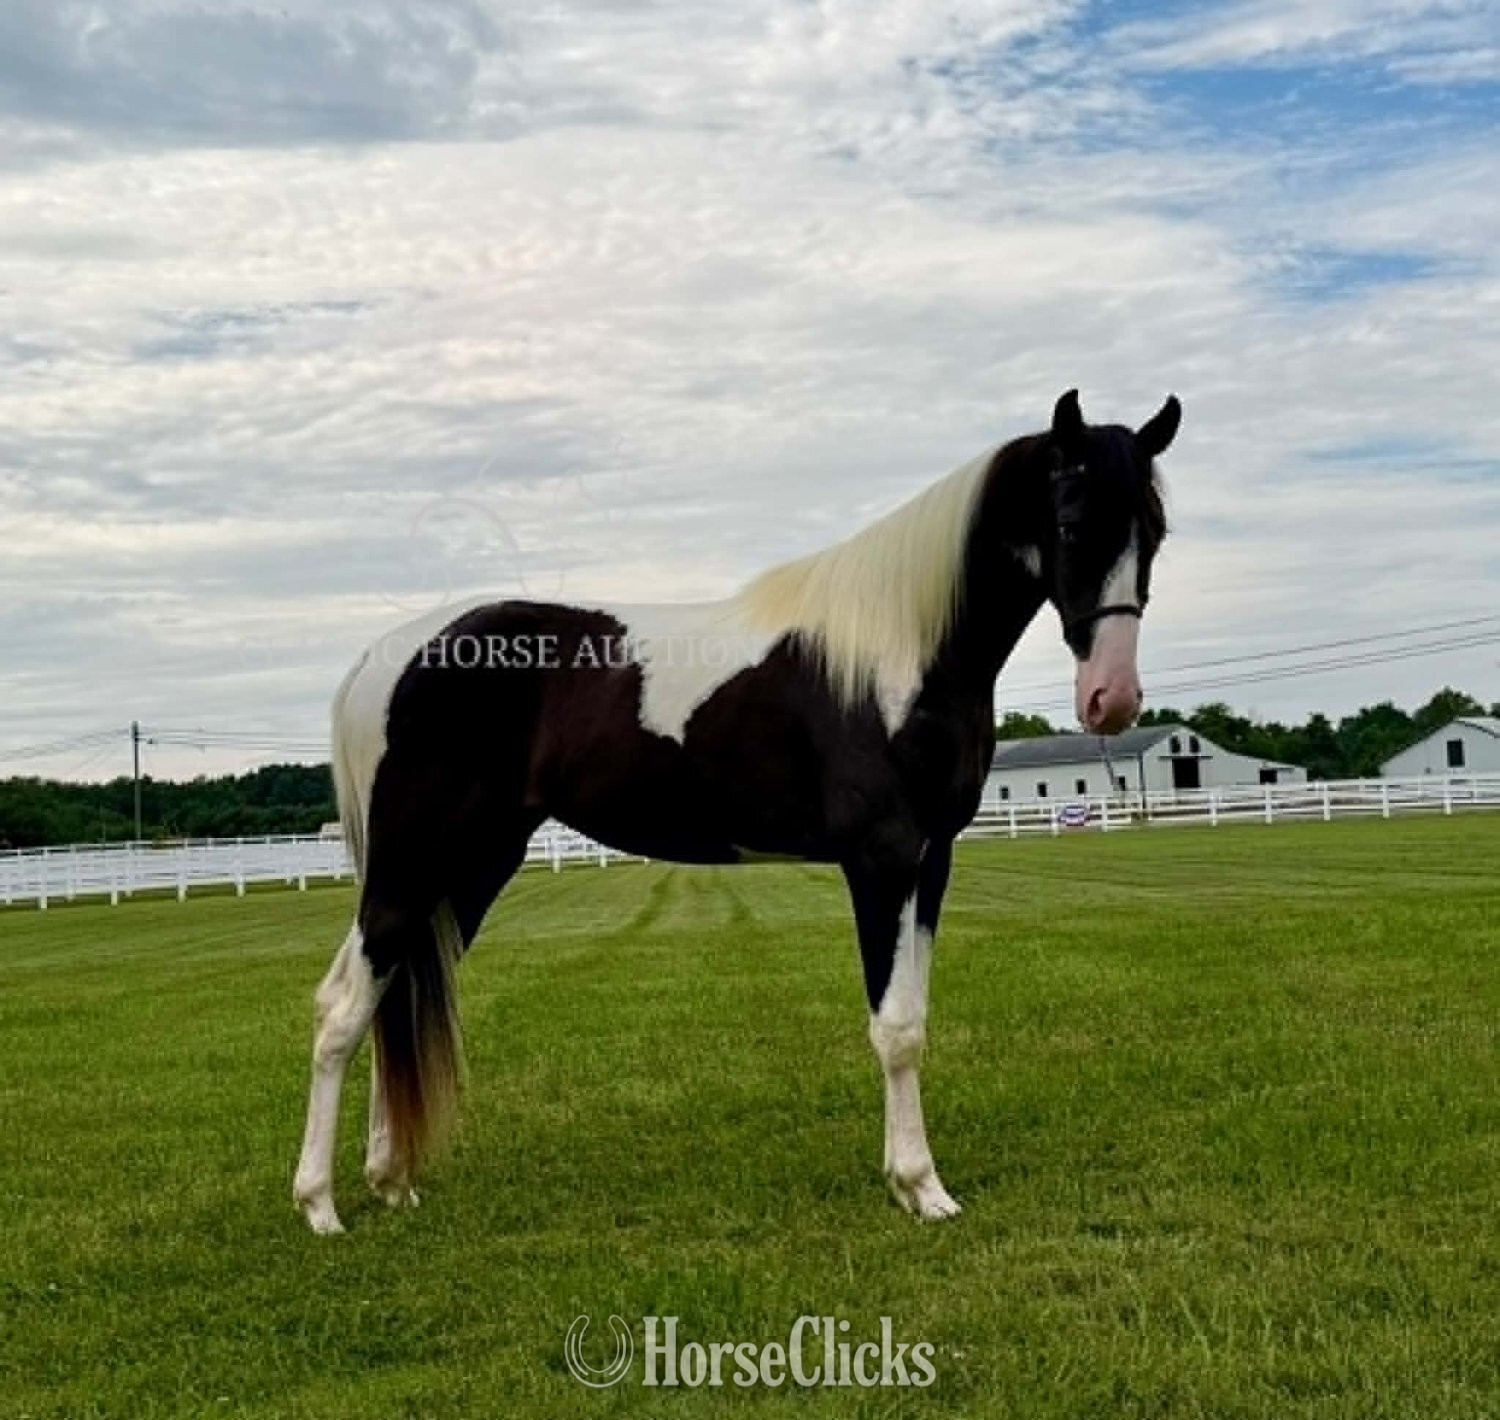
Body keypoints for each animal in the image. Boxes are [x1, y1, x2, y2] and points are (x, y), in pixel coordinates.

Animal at [293, 388, 1181, 1234]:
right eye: (1070, 520)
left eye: (1155, 531)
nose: (1112, 699)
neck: (896, 651)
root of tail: (385, 658)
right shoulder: (882, 857)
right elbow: (894, 1027)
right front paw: (920, 1189)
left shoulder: (934, 860)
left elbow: (916, 1016)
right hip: (412, 862)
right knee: (343, 1006)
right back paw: (321, 1206)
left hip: (472, 865)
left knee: (390, 994)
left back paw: (390, 1182)